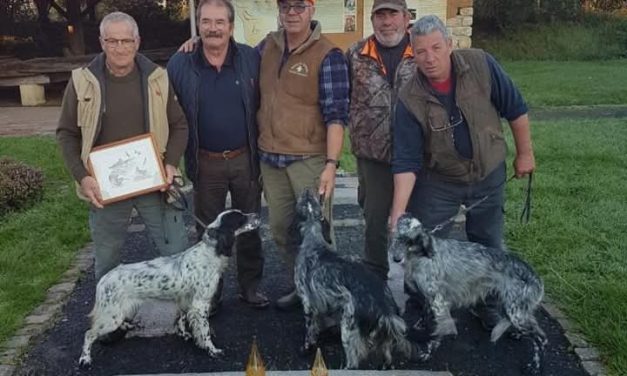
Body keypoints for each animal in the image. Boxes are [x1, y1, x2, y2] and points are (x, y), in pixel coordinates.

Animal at [78, 210, 260, 366]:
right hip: (111, 316)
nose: (257, 215)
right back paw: (85, 359)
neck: (210, 251)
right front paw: (212, 350)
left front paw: (185, 335)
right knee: (89, 334)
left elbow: (182, 319)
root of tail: (103, 279)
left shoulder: (186, 300)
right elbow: (205, 331)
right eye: (241, 218)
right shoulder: (200, 305)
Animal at [292, 189, 414, 368]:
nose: (307, 190)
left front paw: (306, 348)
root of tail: (385, 309)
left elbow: (310, 330)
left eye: (304, 200)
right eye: (311, 198)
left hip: (348, 330)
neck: (313, 243)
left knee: (353, 362)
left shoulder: (308, 303)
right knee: (387, 356)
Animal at [390, 213, 548, 374]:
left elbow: (438, 332)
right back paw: (518, 334)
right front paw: (420, 325)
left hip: (515, 313)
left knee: (541, 338)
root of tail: (535, 277)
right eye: (397, 237)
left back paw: (535, 366)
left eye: (410, 241)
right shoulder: (431, 298)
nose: (396, 258)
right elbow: (424, 312)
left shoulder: (439, 302)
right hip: (513, 309)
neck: (422, 255)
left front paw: (427, 352)